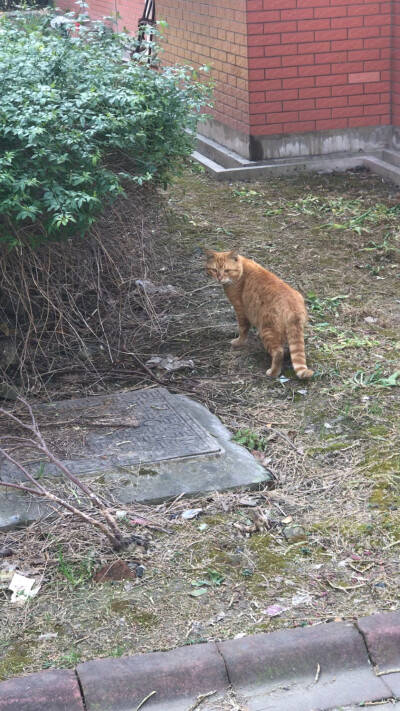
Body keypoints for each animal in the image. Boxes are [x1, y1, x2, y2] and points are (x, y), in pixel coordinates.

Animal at [205, 252, 314, 384]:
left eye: (227, 270)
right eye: (214, 270)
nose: (219, 277)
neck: (242, 270)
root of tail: (294, 311)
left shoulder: (240, 311)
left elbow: (243, 330)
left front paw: (238, 342)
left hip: (266, 331)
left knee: (278, 352)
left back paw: (272, 373)